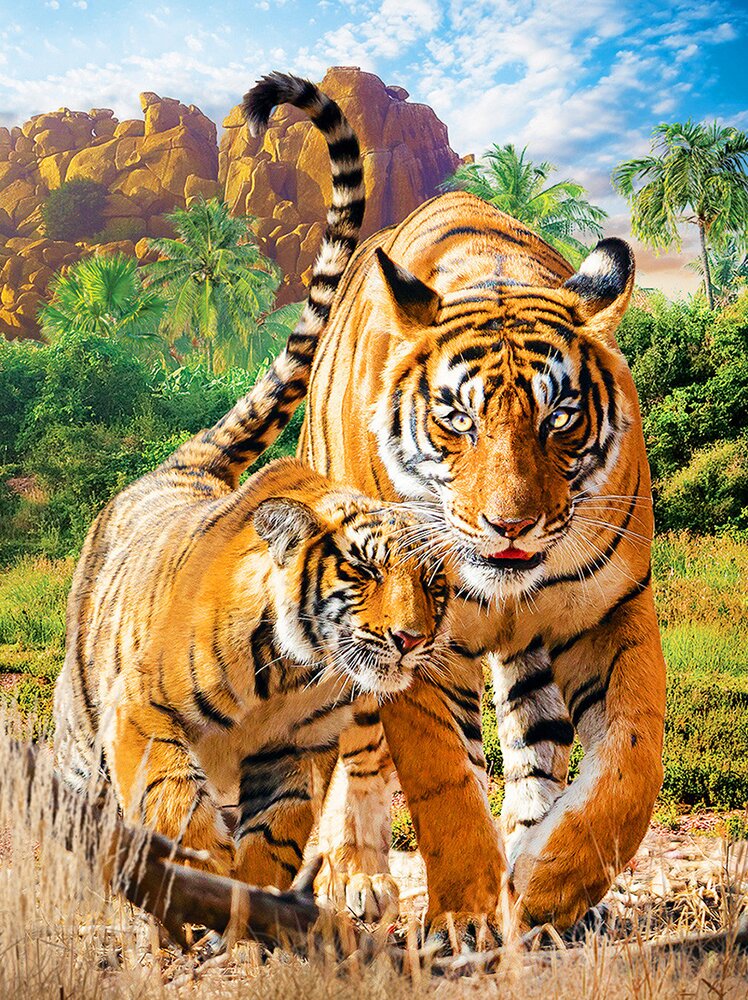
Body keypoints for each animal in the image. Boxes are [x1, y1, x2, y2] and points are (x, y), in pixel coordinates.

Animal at [52, 75, 449, 896]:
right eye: (363, 570)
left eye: (433, 582)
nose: (411, 638)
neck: (293, 675)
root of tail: (183, 468)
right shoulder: (142, 712)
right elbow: (176, 804)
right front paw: (198, 877)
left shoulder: (298, 753)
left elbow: (277, 834)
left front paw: (252, 899)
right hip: (81, 718)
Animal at [275, 80, 667, 934]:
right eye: (456, 418)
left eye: (560, 418)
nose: (510, 525)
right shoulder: (410, 642)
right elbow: (444, 782)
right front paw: (463, 918)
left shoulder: (612, 608)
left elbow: (630, 761)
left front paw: (549, 885)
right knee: (355, 756)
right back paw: (356, 879)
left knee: (535, 741)